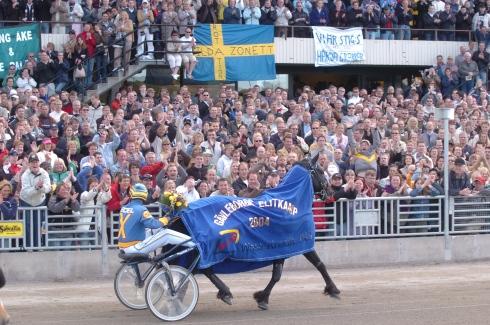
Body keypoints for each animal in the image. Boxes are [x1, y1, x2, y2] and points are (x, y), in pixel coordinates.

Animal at [170, 159, 338, 308]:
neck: (290, 201)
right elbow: (316, 265)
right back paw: (224, 292)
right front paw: (334, 290)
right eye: (321, 171)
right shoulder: (298, 243)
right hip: (207, 248)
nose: (330, 192)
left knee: (191, 270)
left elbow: (281, 273)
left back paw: (181, 297)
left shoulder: (283, 246)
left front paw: (263, 297)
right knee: (202, 269)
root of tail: (182, 211)